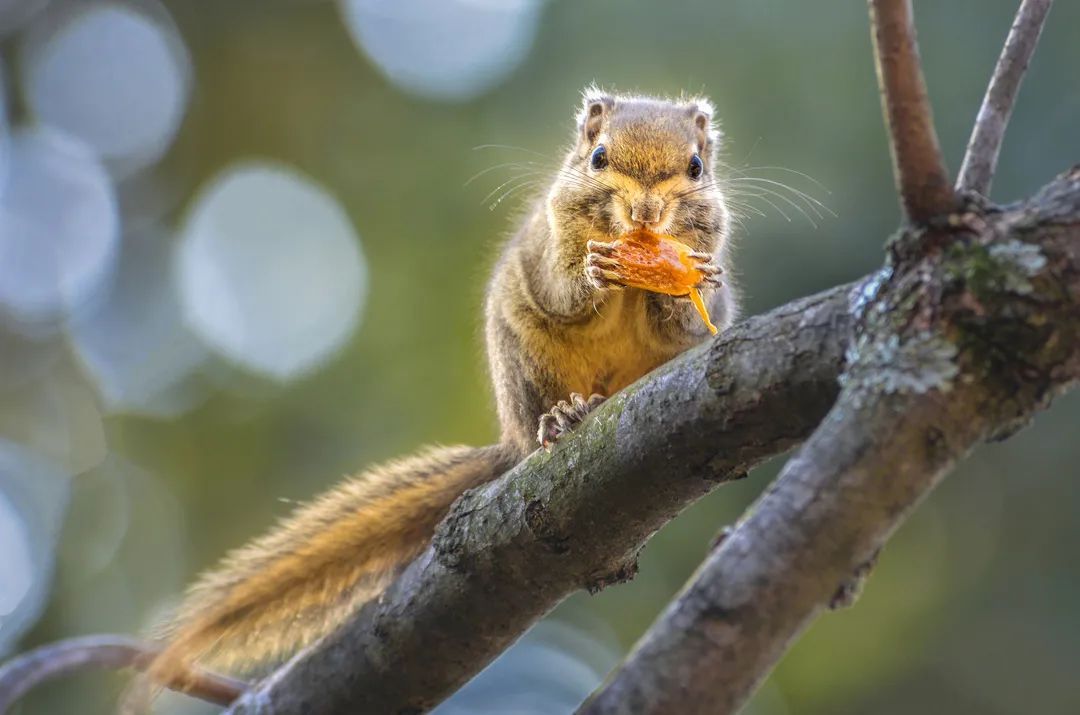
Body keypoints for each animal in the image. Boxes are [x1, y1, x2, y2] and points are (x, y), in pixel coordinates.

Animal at [139, 88, 738, 699]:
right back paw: (563, 418)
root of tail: (511, 443)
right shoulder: (548, 245)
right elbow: (563, 290)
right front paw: (595, 272)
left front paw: (690, 283)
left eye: (696, 167)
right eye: (598, 157)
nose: (645, 215)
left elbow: (686, 321)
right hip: (523, 362)